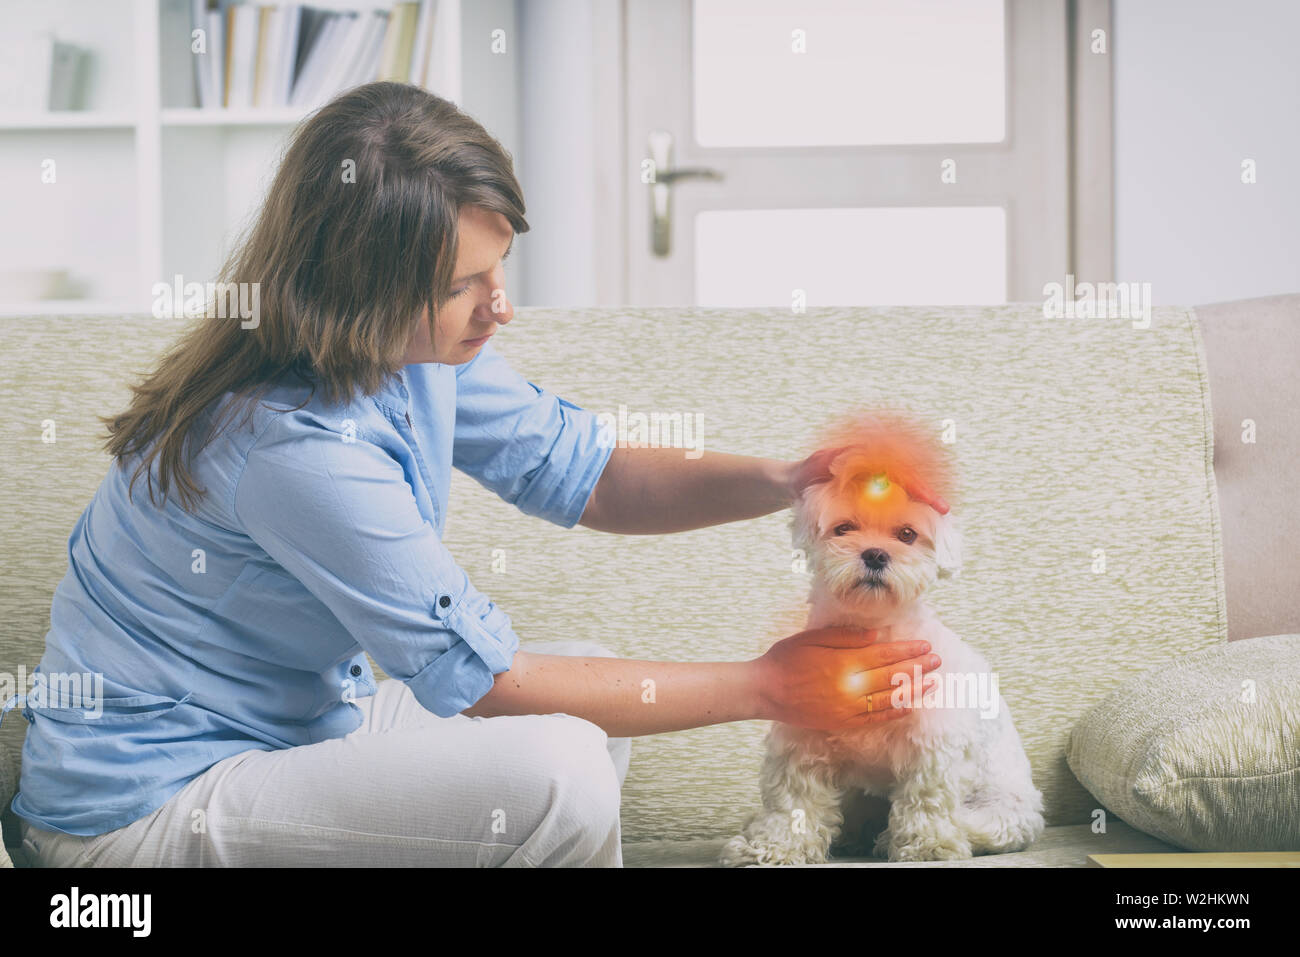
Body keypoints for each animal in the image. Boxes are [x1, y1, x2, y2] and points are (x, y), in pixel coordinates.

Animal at [721, 413, 1044, 865]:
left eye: (907, 534)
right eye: (843, 528)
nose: (875, 554)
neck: (871, 631)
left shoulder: (933, 744)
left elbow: (925, 800)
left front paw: (927, 846)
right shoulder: (801, 740)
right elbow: (793, 804)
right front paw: (771, 847)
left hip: (998, 813)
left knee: (973, 824)